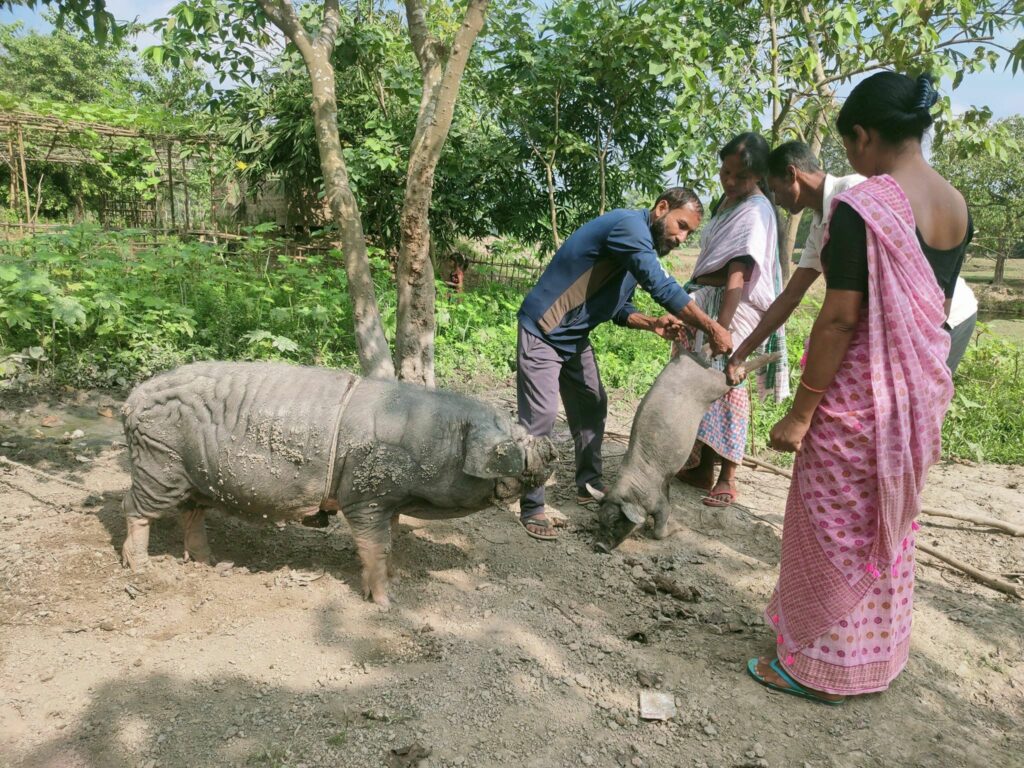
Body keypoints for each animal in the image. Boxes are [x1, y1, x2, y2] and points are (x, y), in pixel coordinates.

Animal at [119, 364, 557, 610]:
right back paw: (141, 569)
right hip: (158, 464)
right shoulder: (365, 495)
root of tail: (131, 399)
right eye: (514, 440)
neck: (433, 440)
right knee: (134, 510)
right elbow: (375, 546)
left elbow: (390, 539)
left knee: (190, 514)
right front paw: (386, 605)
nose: (550, 447)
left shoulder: (389, 498)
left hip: (193, 478)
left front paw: (396, 577)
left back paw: (207, 562)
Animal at [593, 348, 774, 552]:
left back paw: (766, 358)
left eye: (616, 521)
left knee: (730, 377)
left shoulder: (658, 502)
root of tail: (687, 358)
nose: (599, 546)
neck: (633, 492)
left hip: (715, 383)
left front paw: (677, 528)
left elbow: (661, 525)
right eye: (600, 520)